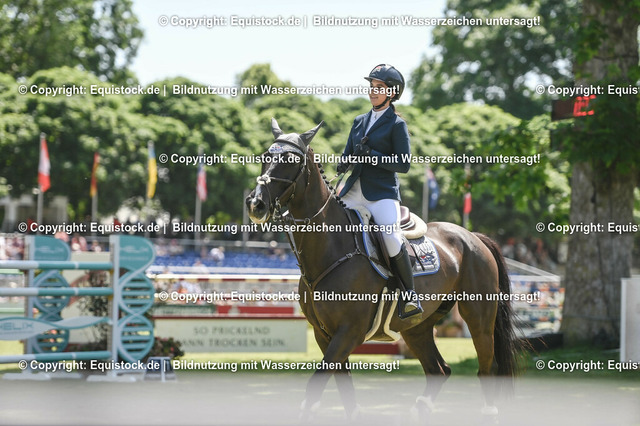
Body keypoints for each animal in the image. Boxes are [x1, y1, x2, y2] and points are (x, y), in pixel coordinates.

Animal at [245, 119, 520, 422]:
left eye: (290, 161)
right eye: (265, 157)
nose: (256, 204)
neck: (331, 247)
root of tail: (473, 236)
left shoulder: (348, 332)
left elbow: (315, 388)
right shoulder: (323, 334)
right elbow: (344, 390)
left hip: (479, 317)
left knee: (486, 370)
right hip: (418, 328)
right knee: (439, 370)